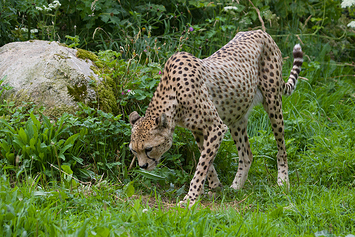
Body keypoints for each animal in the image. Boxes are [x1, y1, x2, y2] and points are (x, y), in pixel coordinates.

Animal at [129, 29, 304, 205]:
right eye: (134, 151)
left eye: (149, 148)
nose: (143, 166)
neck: (173, 95)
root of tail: (259, 31)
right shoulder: (199, 131)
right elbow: (207, 161)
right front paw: (215, 188)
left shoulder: (216, 127)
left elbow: (202, 165)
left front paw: (190, 199)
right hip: (237, 116)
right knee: (246, 154)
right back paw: (235, 188)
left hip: (273, 104)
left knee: (281, 149)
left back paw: (282, 182)